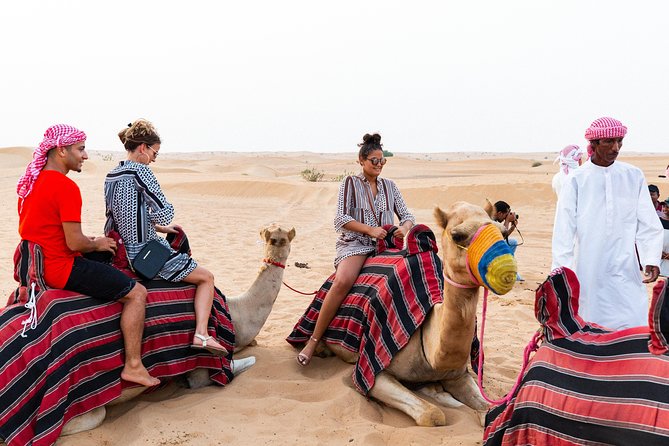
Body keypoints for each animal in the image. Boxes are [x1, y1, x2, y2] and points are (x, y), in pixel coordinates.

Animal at [312, 201, 517, 426]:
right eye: (457, 236)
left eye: (503, 232)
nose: (506, 270)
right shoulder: (372, 370)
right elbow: (433, 415)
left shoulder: (458, 376)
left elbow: (490, 410)